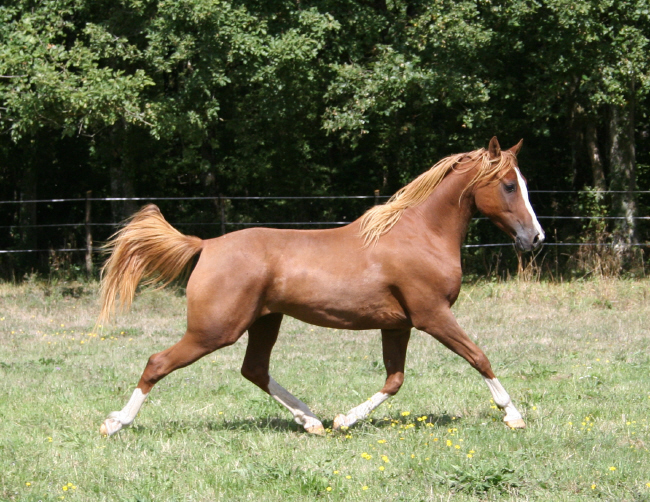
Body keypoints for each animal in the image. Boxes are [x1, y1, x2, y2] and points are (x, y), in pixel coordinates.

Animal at [96, 136, 540, 436]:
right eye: (508, 184)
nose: (536, 238)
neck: (419, 235)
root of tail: (206, 245)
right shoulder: (432, 315)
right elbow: (479, 356)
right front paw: (513, 415)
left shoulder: (397, 324)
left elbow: (394, 380)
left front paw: (344, 419)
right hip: (215, 329)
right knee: (158, 362)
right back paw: (115, 423)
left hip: (264, 321)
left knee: (254, 369)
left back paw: (312, 421)